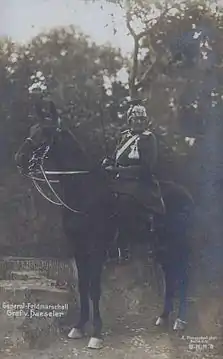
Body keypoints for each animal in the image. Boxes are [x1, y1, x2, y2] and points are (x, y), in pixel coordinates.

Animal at [14, 101, 194, 348]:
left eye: (45, 132)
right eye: (32, 129)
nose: (19, 159)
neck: (85, 193)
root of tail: (185, 194)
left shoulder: (98, 250)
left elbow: (94, 289)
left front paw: (96, 334)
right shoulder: (78, 249)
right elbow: (82, 286)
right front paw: (79, 327)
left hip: (178, 244)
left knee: (183, 276)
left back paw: (180, 320)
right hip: (161, 247)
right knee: (170, 277)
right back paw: (163, 317)